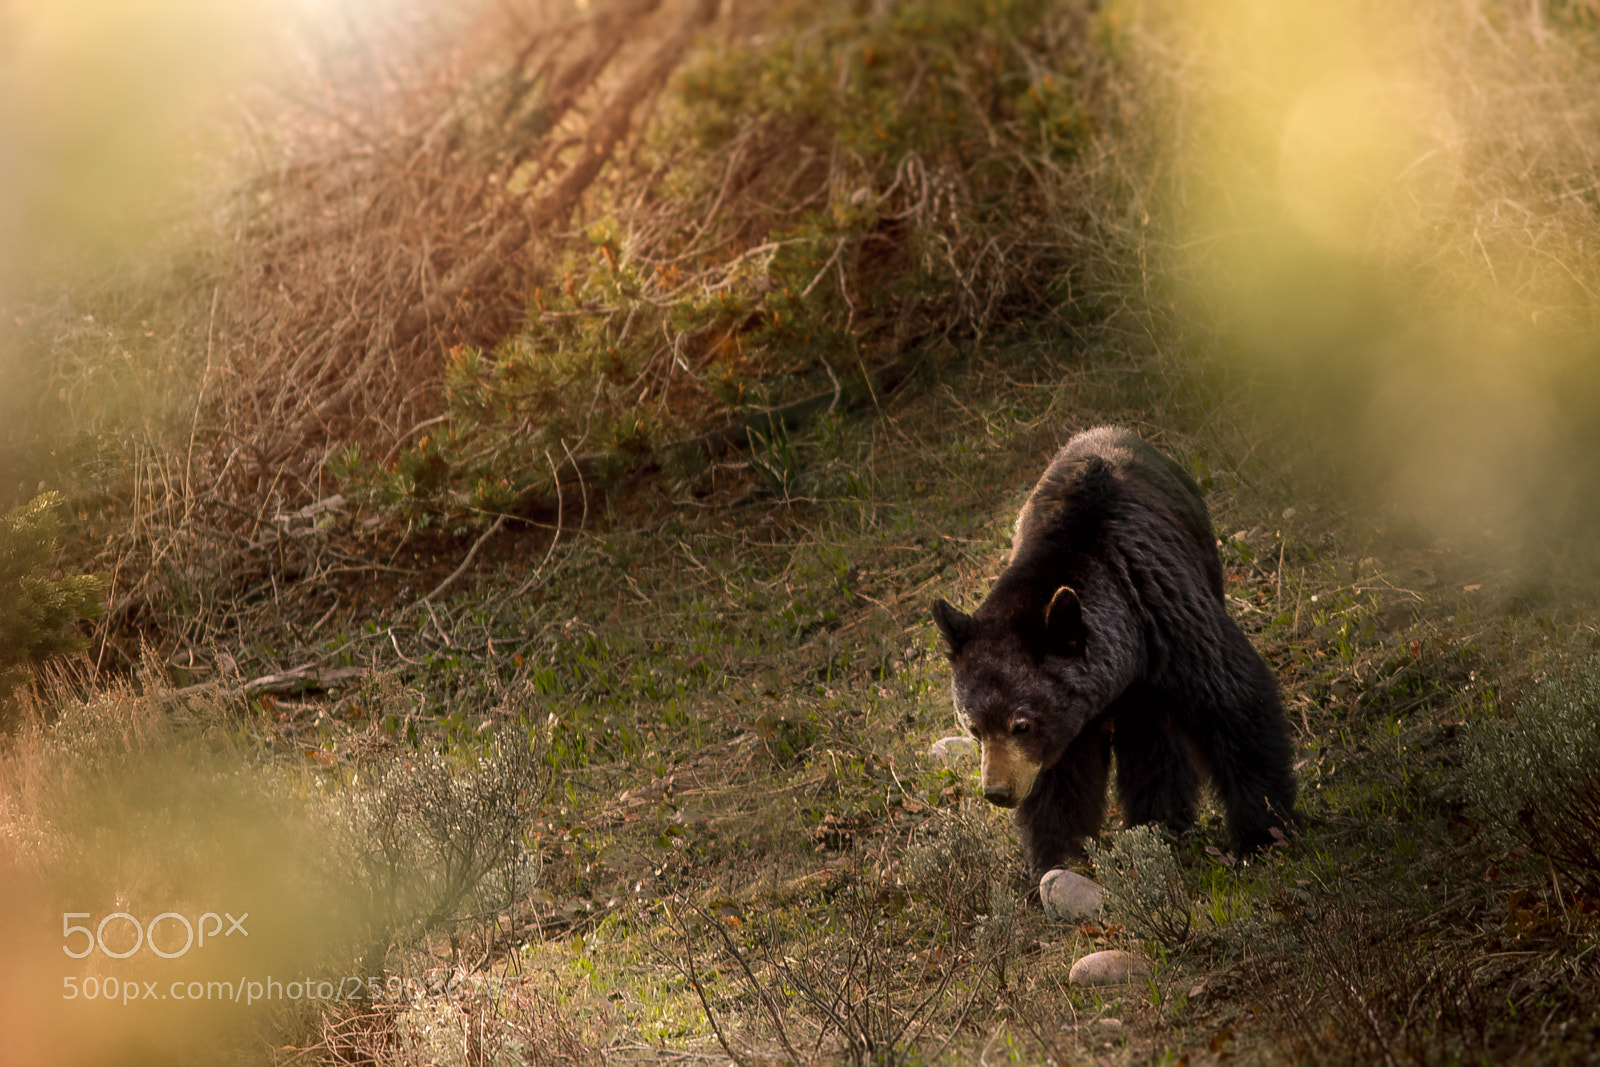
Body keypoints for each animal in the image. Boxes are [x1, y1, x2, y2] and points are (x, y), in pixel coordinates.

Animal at [931, 426, 1297, 875]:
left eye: (1022, 724)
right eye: (973, 727)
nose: (998, 791)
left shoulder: (1165, 614)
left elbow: (1233, 703)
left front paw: (1262, 832)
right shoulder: (1069, 719)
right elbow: (1061, 776)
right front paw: (1060, 856)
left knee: (1154, 740)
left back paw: (1160, 821)